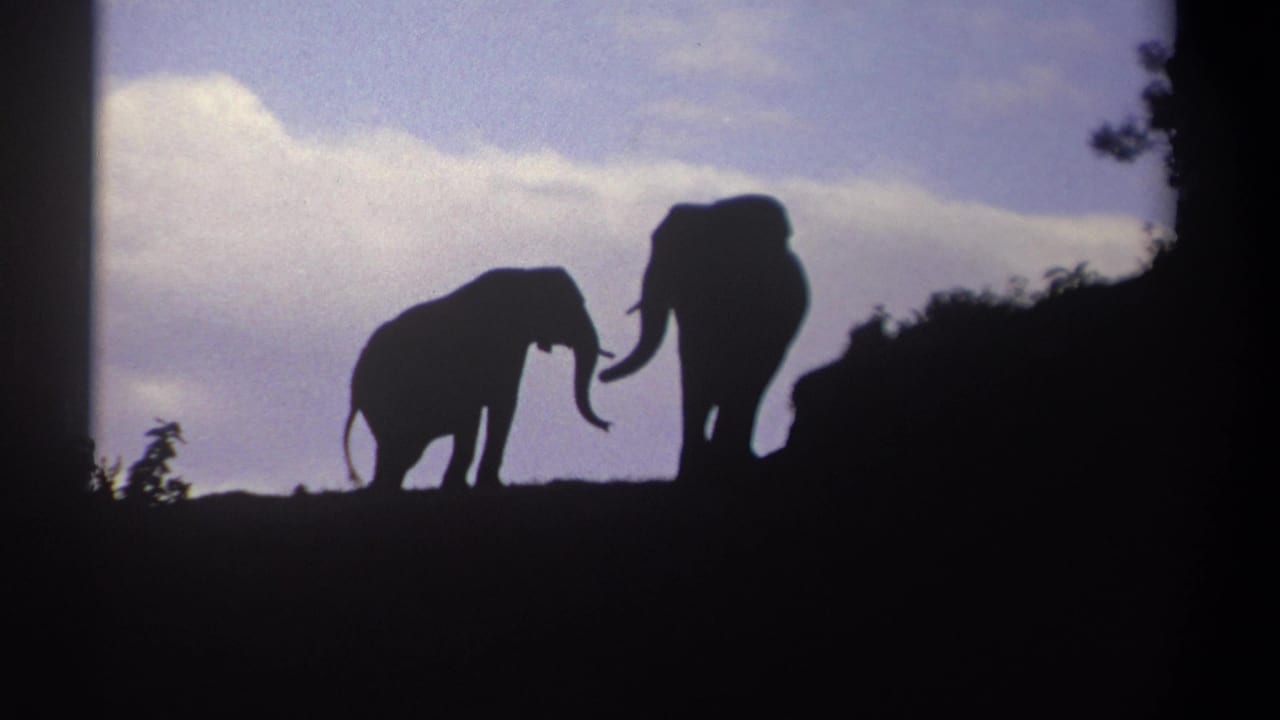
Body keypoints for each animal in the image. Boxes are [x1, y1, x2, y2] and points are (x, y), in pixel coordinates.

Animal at [343, 267, 611, 493]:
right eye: (571, 307)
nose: (609, 426)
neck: (526, 274)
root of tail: (354, 390)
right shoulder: (500, 344)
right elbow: (501, 404)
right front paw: (480, 486)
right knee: (404, 448)